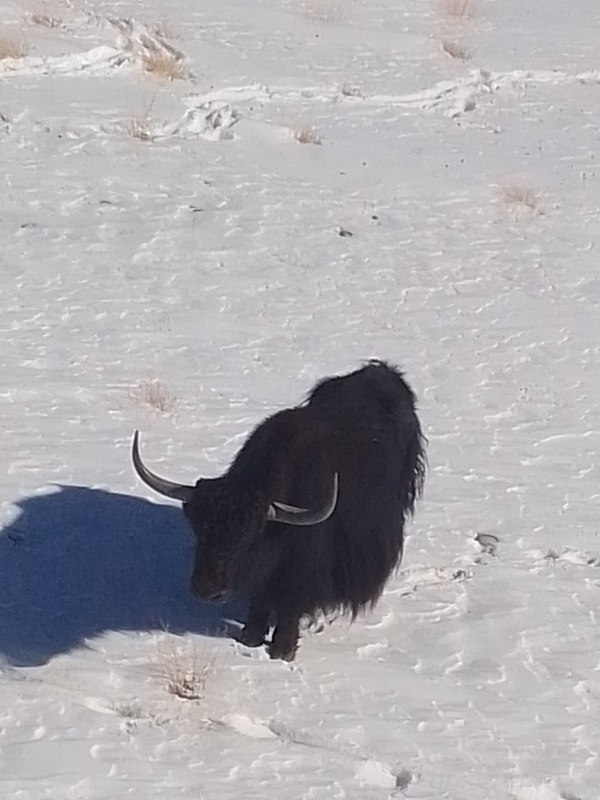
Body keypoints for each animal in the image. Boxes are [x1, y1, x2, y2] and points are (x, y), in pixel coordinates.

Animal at [132, 360, 426, 660]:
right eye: (198, 529)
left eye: (249, 537)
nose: (207, 590)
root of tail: (382, 371)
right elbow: (259, 598)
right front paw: (250, 638)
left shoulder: (303, 562)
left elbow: (290, 602)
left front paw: (283, 650)